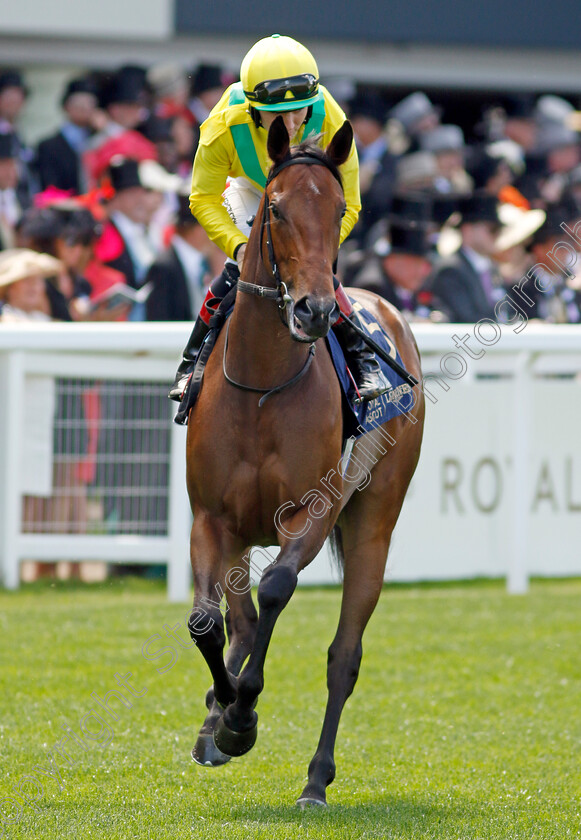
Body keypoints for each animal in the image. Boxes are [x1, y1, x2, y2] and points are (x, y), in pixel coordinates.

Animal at [186, 115, 426, 804]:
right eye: (275, 207)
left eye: (339, 209)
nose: (314, 309)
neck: (263, 385)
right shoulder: (211, 517)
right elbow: (208, 622)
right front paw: (221, 714)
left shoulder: (313, 513)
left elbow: (276, 589)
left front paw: (241, 717)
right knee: (237, 621)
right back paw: (213, 717)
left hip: (374, 520)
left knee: (343, 655)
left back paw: (316, 778)